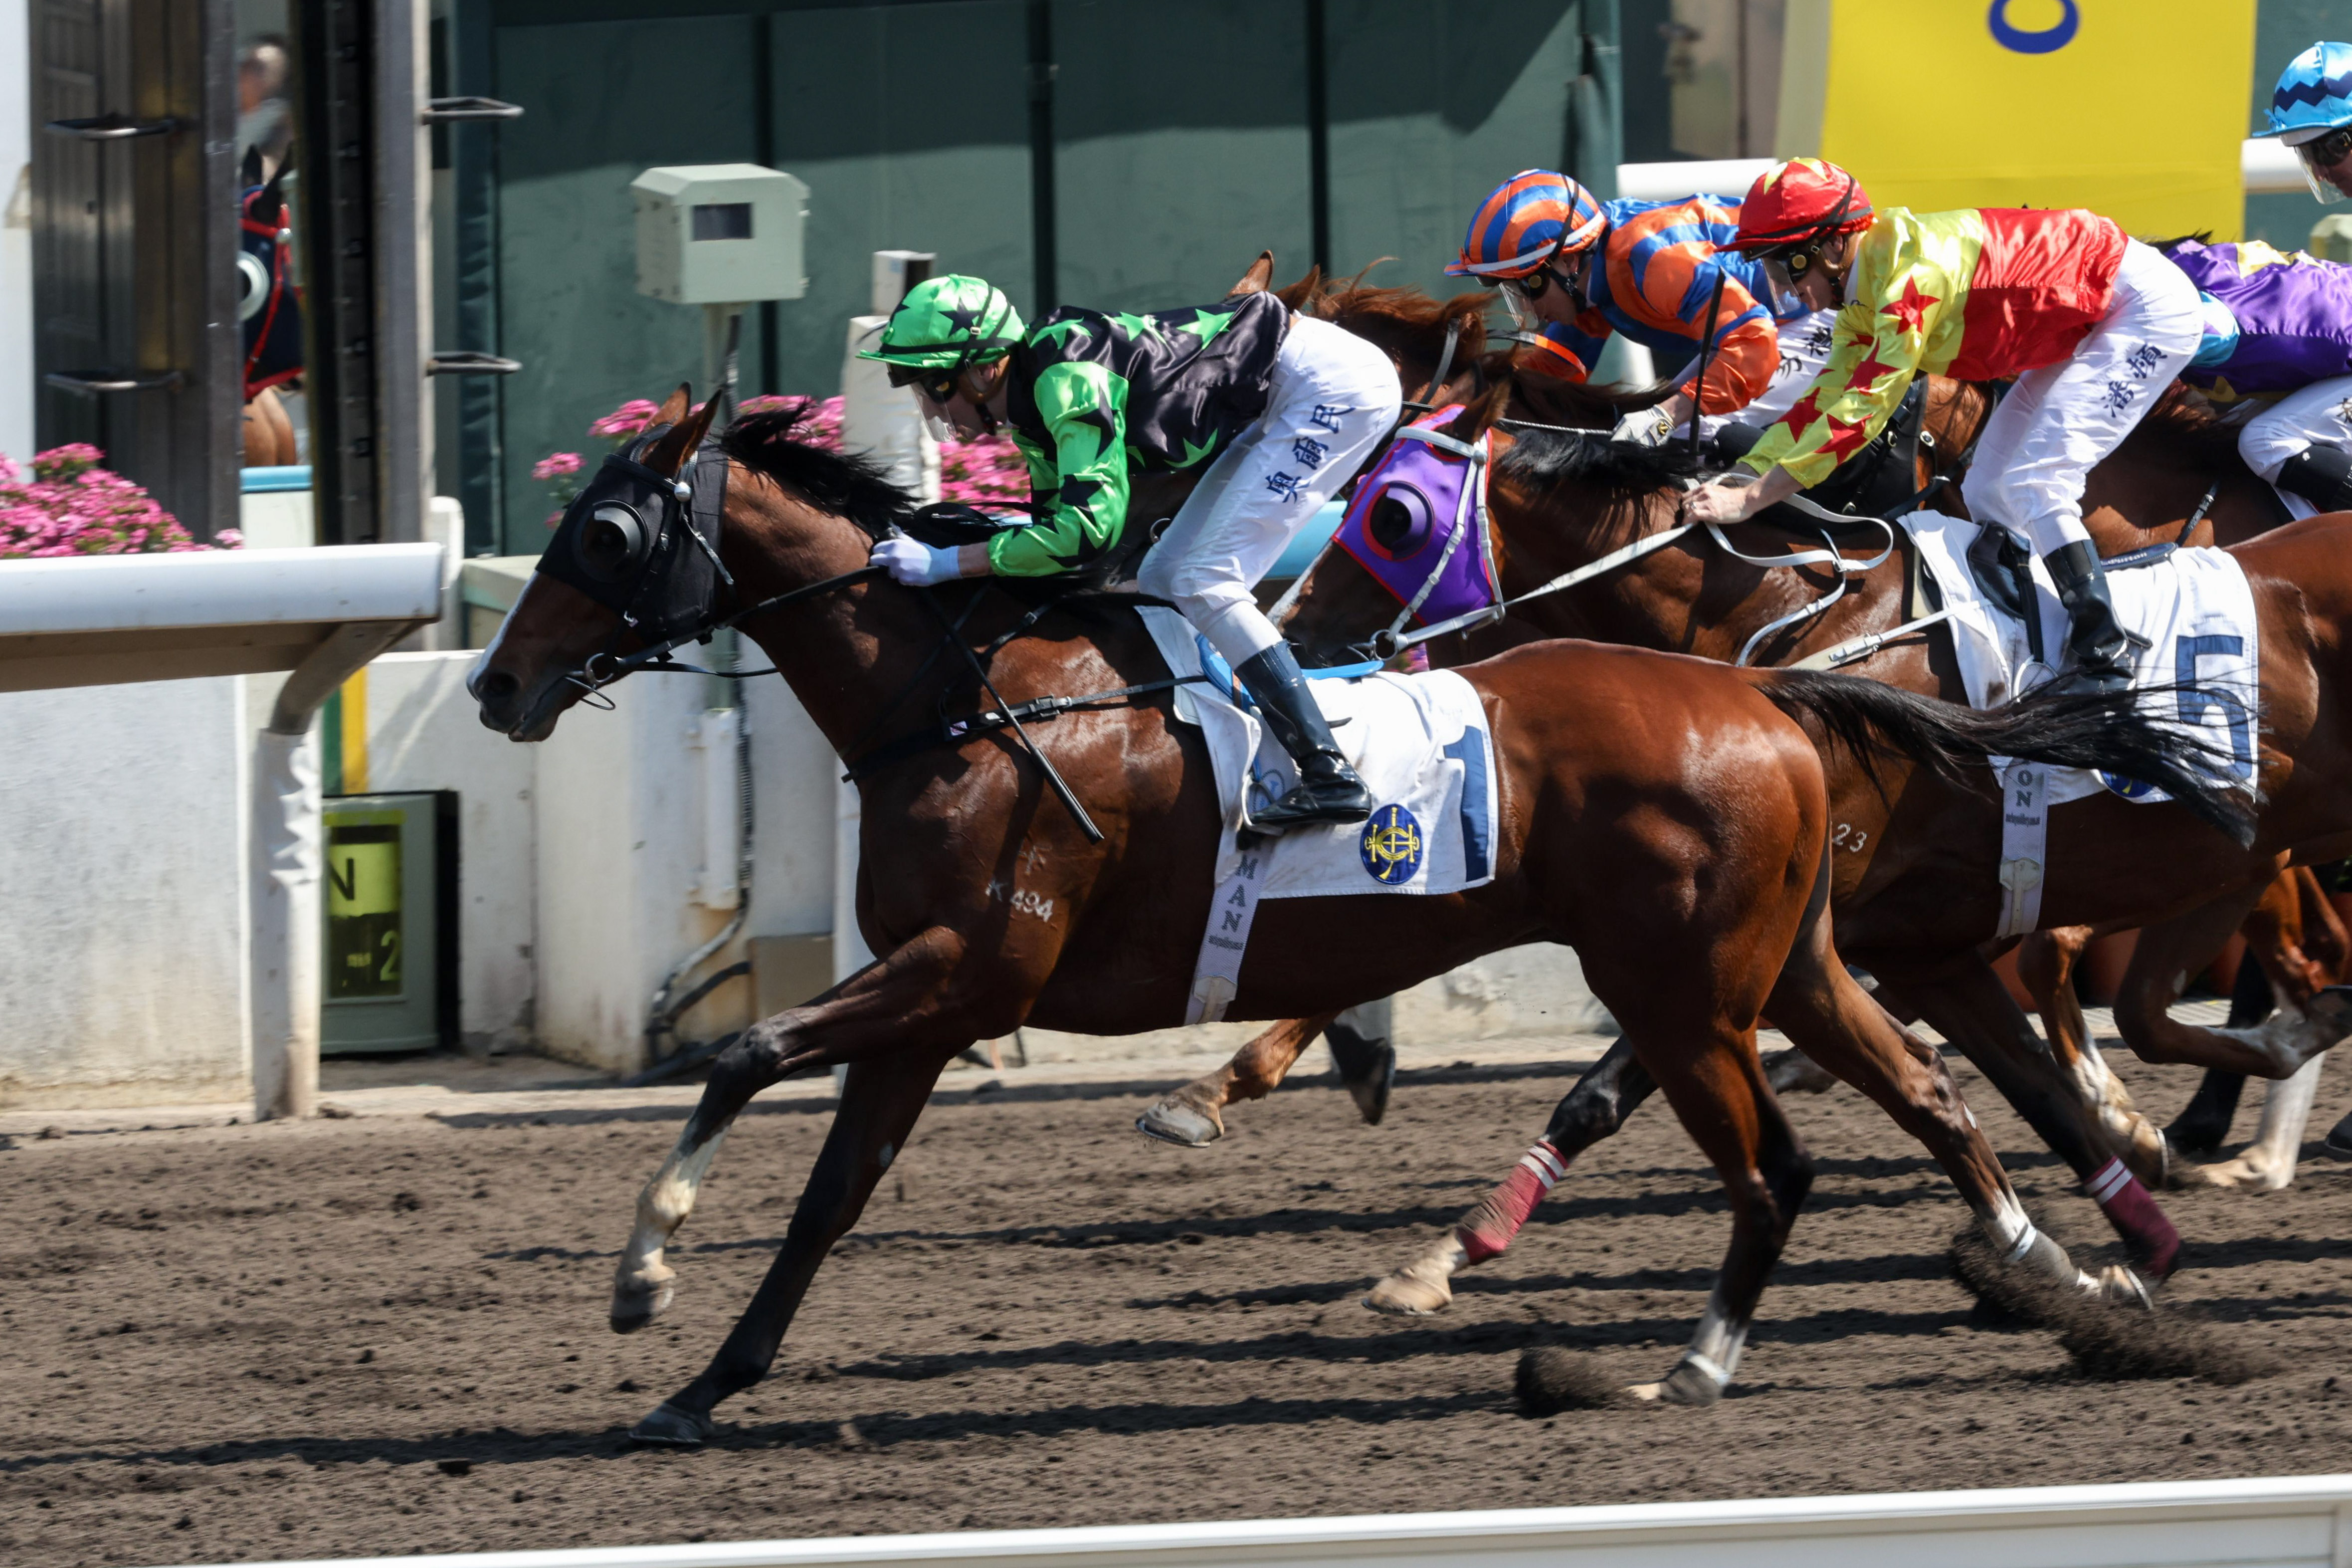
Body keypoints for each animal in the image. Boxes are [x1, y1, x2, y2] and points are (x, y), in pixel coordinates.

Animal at [466, 385, 2217, 1435]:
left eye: (604, 532)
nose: (493, 683)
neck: (955, 703)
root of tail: (1767, 693)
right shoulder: (932, 999)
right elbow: (827, 1196)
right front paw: (704, 1382)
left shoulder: (969, 968)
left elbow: (740, 1052)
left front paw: (643, 1274)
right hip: (1785, 969)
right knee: (1928, 1090)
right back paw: (2070, 1275)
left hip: (1679, 992)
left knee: (1777, 1161)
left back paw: (1699, 1358)